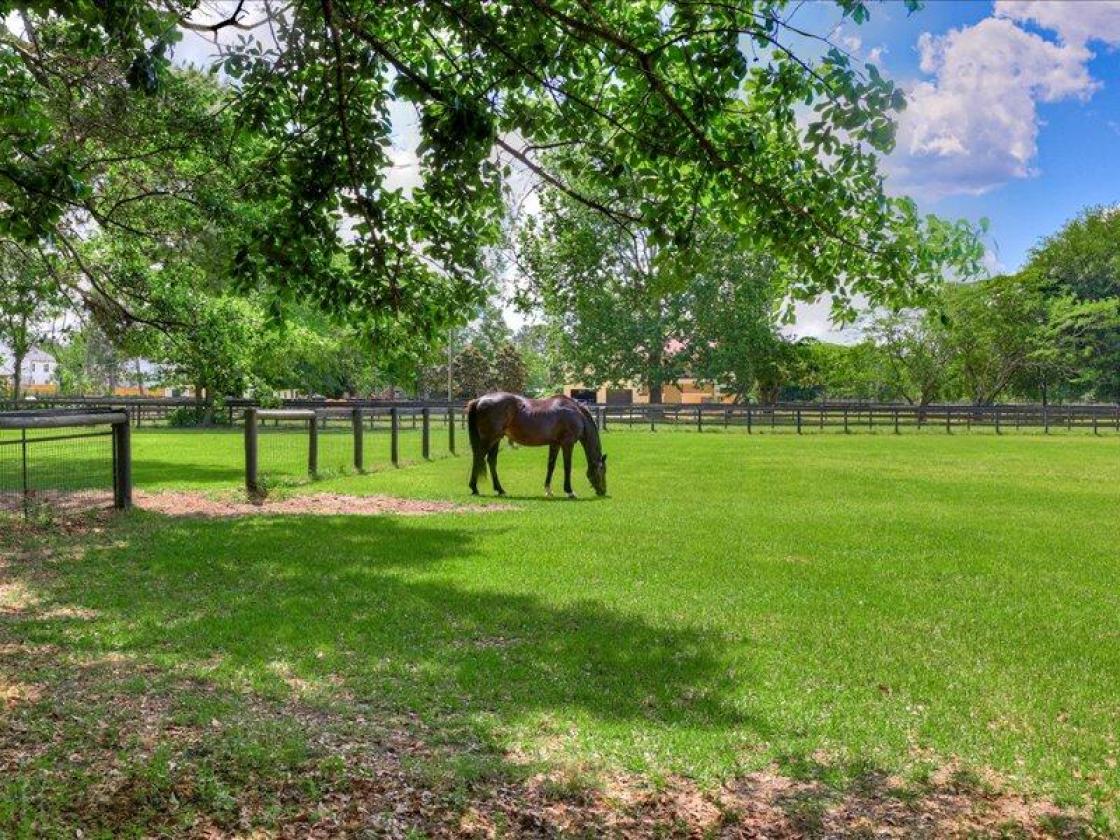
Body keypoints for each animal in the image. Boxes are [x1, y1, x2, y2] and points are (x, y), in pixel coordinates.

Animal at [466, 393, 607, 498]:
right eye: (603, 471)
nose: (603, 491)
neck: (576, 413)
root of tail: (479, 400)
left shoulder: (555, 444)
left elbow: (551, 466)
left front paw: (548, 490)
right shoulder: (568, 443)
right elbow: (567, 467)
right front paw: (569, 491)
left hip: (496, 439)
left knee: (491, 461)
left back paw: (500, 490)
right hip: (489, 439)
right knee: (478, 458)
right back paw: (474, 487)